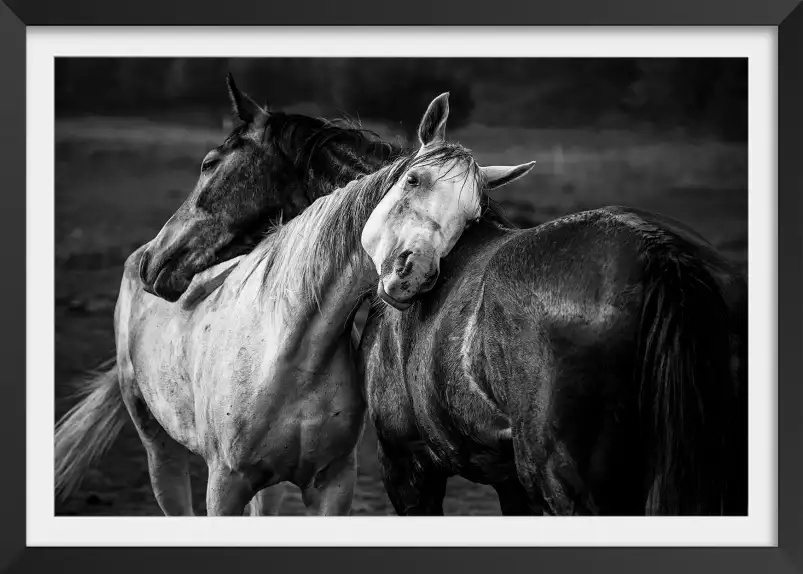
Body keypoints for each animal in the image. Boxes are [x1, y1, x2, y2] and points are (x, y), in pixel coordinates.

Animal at [133, 89, 748, 516]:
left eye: (210, 162)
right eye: (412, 180)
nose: (154, 261)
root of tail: (657, 256)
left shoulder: (407, 468)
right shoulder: (508, 482)